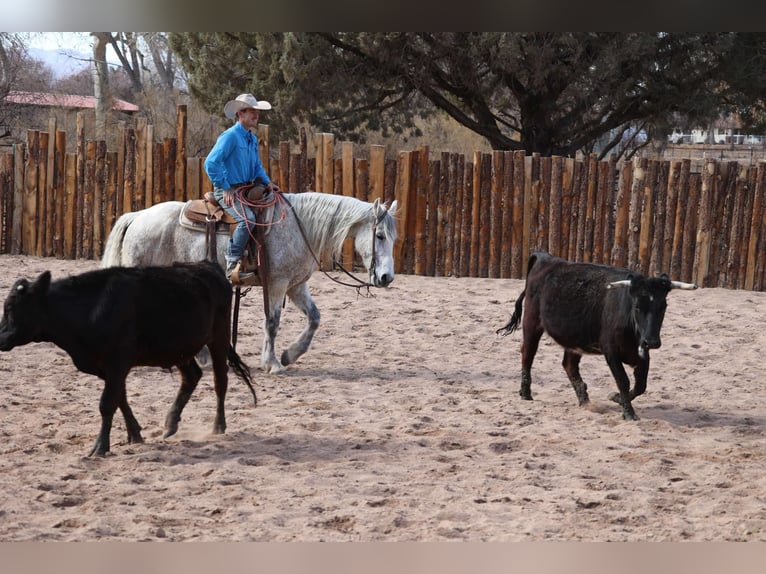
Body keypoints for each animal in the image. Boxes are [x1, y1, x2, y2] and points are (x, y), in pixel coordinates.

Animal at [0, 262, 258, 460]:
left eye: (11, 308)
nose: (0, 338)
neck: (89, 309)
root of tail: (207, 266)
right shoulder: (108, 368)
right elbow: (120, 399)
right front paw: (135, 434)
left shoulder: (117, 362)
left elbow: (107, 403)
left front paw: (100, 447)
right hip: (177, 348)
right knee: (192, 376)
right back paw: (170, 424)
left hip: (219, 338)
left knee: (220, 381)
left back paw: (218, 426)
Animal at [498, 254, 696, 420]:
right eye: (638, 306)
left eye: (663, 307)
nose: (652, 341)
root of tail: (544, 257)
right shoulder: (611, 352)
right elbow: (623, 381)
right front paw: (628, 412)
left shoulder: (642, 354)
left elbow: (641, 385)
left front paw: (617, 398)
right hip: (531, 323)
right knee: (527, 354)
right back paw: (526, 393)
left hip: (574, 339)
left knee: (569, 365)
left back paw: (584, 401)